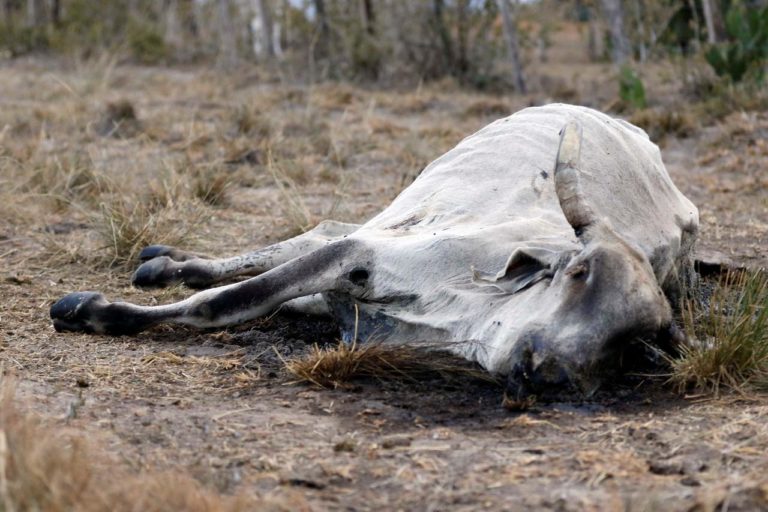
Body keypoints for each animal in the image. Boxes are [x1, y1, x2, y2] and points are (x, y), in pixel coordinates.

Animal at [48, 103, 696, 396]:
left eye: (629, 344)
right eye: (579, 273)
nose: (550, 370)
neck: (468, 310)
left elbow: (253, 296)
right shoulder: (362, 255)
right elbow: (224, 303)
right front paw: (92, 311)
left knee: (316, 234)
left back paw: (168, 263)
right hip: (397, 213)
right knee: (320, 230)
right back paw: (164, 263)